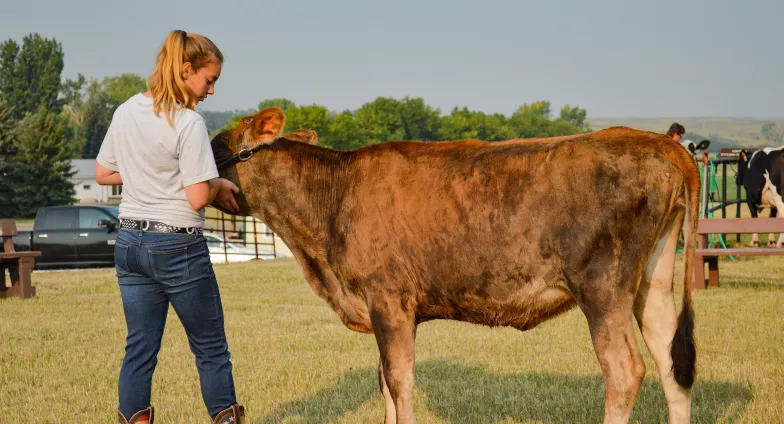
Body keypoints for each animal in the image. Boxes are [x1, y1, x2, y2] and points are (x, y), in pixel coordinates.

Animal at [210, 107, 700, 422]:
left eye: (213, 145)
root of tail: (655, 142)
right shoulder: (385, 307)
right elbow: (384, 383)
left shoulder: (388, 298)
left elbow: (399, 381)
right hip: (652, 281)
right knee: (670, 363)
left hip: (603, 285)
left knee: (624, 371)